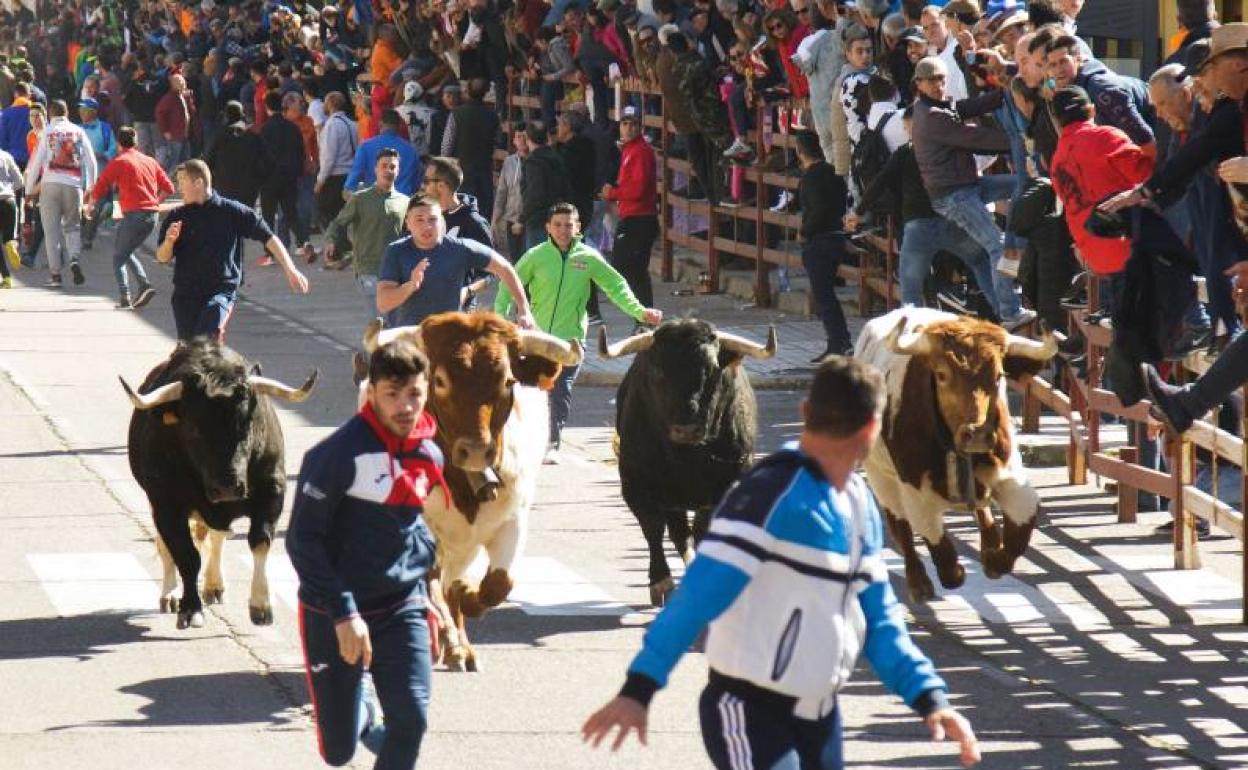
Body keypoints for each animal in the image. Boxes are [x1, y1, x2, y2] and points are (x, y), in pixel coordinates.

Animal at [356, 315, 579, 668]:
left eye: (508, 381)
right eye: (440, 380)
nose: (475, 450)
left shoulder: (513, 521)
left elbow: (497, 584)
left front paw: (469, 599)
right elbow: (433, 584)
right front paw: (449, 632)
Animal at [596, 318, 778, 606]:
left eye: (713, 370)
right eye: (657, 369)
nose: (687, 428)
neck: (687, 457)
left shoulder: (726, 487)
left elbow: (705, 529)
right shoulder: (636, 485)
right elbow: (653, 529)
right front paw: (661, 582)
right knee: (679, 533)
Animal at [858, 305, 1053, 601]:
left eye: (998, 376)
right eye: (941, 375)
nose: (978, 434)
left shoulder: (1011, 477)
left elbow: (1020, 531)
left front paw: (994, 559)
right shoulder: (915, 491)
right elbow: (941, 552)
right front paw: (956, 571)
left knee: (982, 509)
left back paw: (988, 543)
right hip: (880, 475)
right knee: (899, 525)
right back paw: (918, 583)